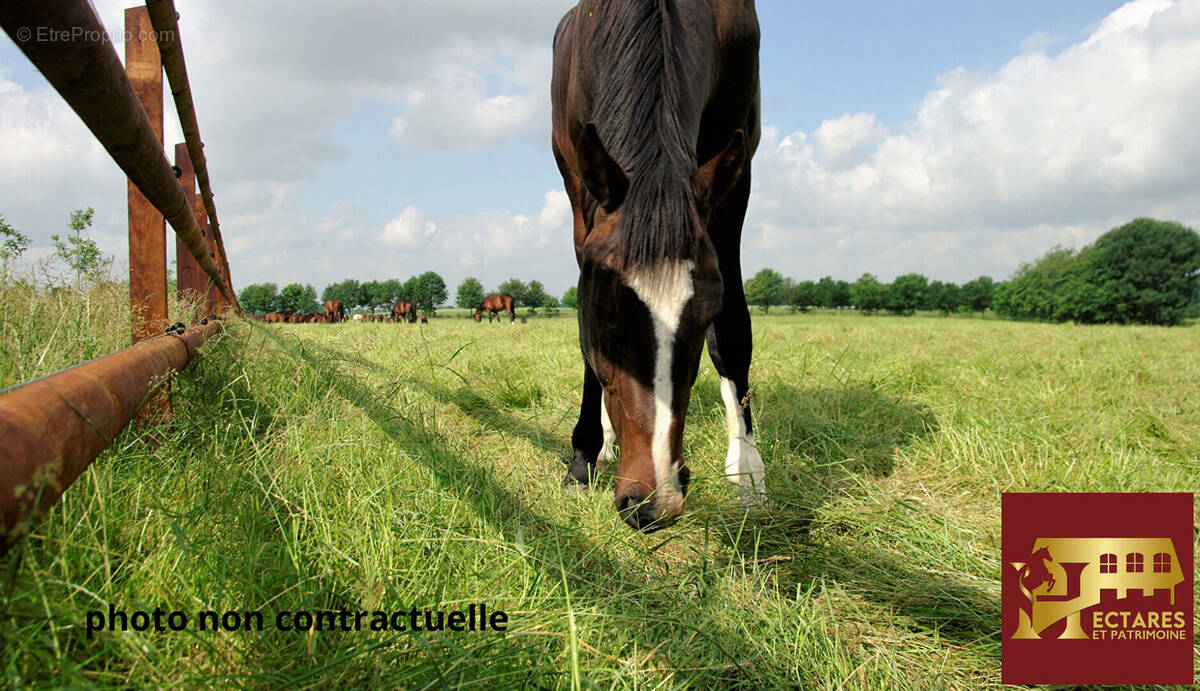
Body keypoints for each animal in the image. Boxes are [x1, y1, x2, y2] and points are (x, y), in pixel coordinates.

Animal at [549, 0, 758, 535]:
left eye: (705, 313)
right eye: (605, 317)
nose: (653, 500)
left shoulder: (735, 174)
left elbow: (733, 334)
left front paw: (750, 478)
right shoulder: (581, 188)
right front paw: (581, 460)